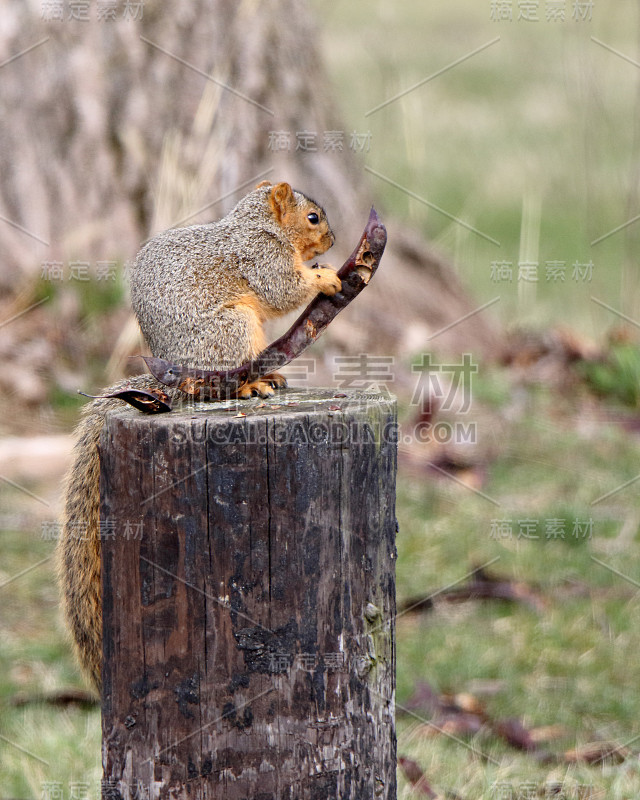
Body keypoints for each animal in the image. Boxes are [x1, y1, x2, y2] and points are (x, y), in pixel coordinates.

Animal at [57, 180, 342, 688]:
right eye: (312, 218)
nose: (332, 241)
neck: (261, 226)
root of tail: (175, 384)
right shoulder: (260, 258)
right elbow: (284, 288)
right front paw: (324, 278)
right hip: (232, 330)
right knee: (217, 387)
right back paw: (251, 384)